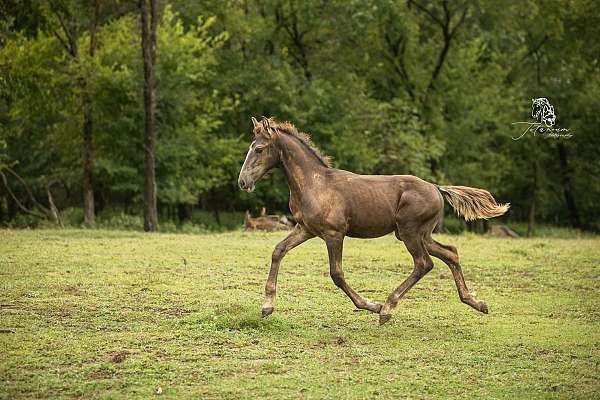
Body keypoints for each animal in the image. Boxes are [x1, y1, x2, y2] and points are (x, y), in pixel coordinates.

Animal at [237, 115, 508, 324]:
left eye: (258, 149)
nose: (243, 182)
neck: (315, 183)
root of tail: (436, 187)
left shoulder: (334, 234)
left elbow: (336, 274)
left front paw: (371, 305)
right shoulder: (305, 229)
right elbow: (278, 251)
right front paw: (267, 306)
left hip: (409, 232)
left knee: (424, 263)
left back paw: (387, 309)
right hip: (421, 234)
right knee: (450, 253)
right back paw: (476, 302)